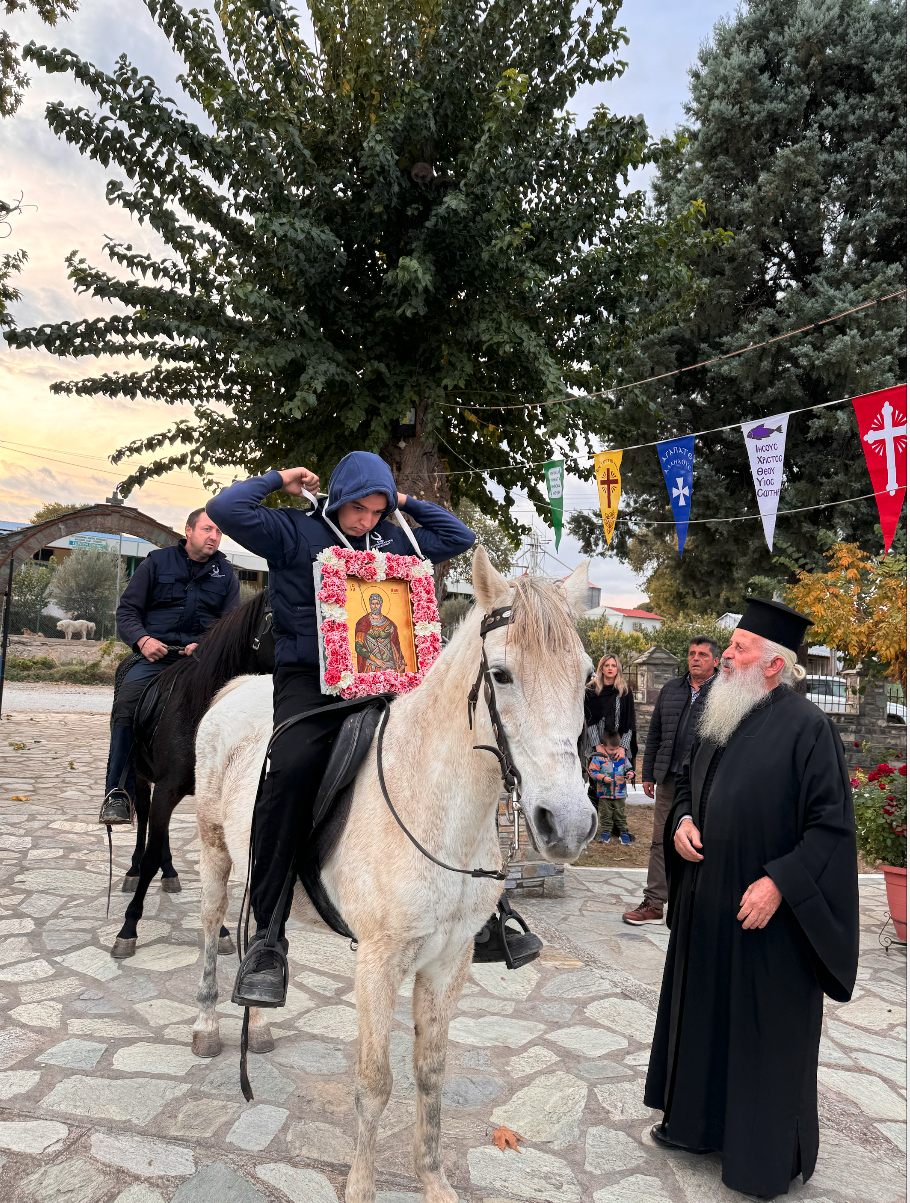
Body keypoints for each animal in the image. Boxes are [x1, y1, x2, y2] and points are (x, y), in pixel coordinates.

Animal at [190, 550, 597, 1198]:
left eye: (585, 678)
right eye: (502, 674)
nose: (570, 823)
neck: (433, 803)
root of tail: (238, 689)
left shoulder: (448, 963)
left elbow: (430, 1073)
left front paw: (433, 1181)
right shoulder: (378, 964)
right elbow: (375, 1081)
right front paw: (361, 1187)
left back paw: (261, 1014)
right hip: (213, 853)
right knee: (209, 932)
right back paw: (208, 1023)